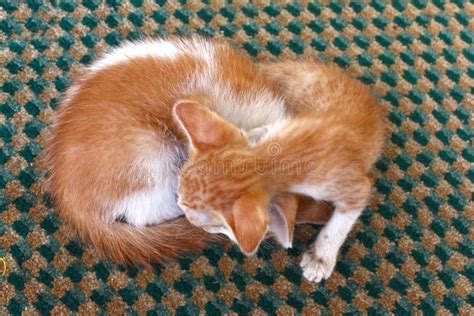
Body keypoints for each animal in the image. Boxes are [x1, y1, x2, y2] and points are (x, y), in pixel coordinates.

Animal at [174, 61, 386, 282]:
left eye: (215, 226)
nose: (180, 207)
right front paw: (250, 134)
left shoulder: (354, 186)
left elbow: (341, 223)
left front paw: (321, 258)